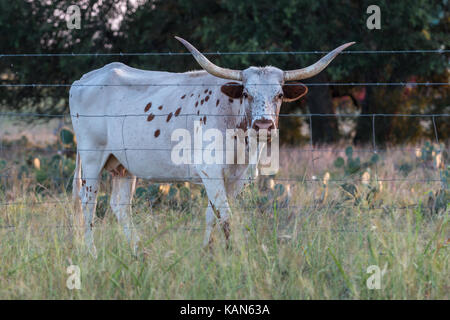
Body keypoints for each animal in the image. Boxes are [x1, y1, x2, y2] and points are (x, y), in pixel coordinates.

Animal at [70, 36, 354, 255]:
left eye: (280, 95)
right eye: (247, 93)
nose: (263, 124)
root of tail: (84, 79)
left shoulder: (237, 178)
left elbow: (213, 214)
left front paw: (207, 252)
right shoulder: (210, 171)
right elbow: (226, 216)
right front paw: (233, 253)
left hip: (122, 165)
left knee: (120, 207)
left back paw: (139, 251)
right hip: (92, 158)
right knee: (88, 202)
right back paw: (90, 252)